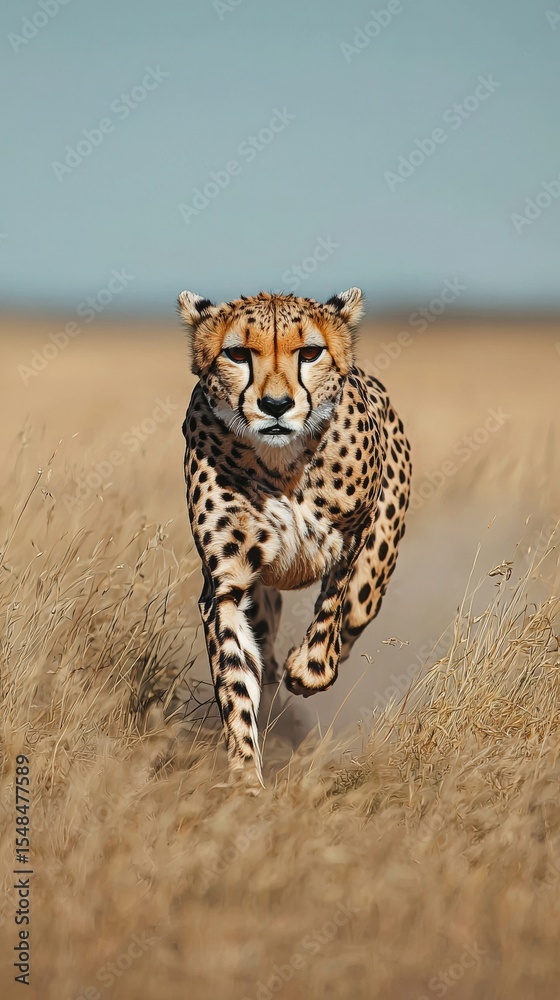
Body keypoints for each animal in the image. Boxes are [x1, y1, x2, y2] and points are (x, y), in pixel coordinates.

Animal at [179, 287, 411, 791]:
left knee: (354, 613)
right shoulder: (226, 586)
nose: (275, 405)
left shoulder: (350, 539)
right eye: (238, 354)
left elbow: (332, 607)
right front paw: (246, 780)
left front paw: (308, 668)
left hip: (377, 564)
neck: (281, 462)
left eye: (309, 353)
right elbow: (236, 679)